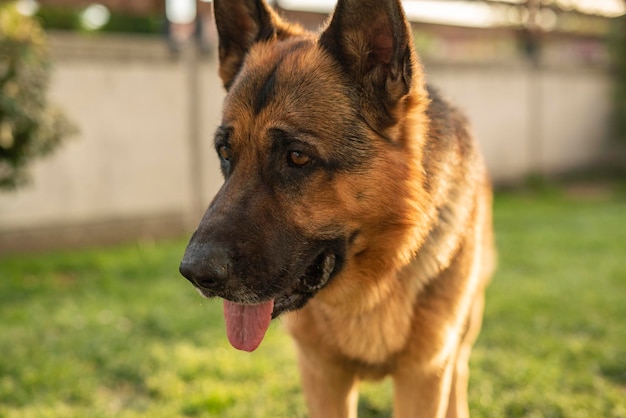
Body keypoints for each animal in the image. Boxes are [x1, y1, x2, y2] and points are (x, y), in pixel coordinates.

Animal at [178, 0, 494, 416]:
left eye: (297, 157)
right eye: (225, 153)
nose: (194, 273)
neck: (373, 284)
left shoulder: (425, 375)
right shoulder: (322, 375)